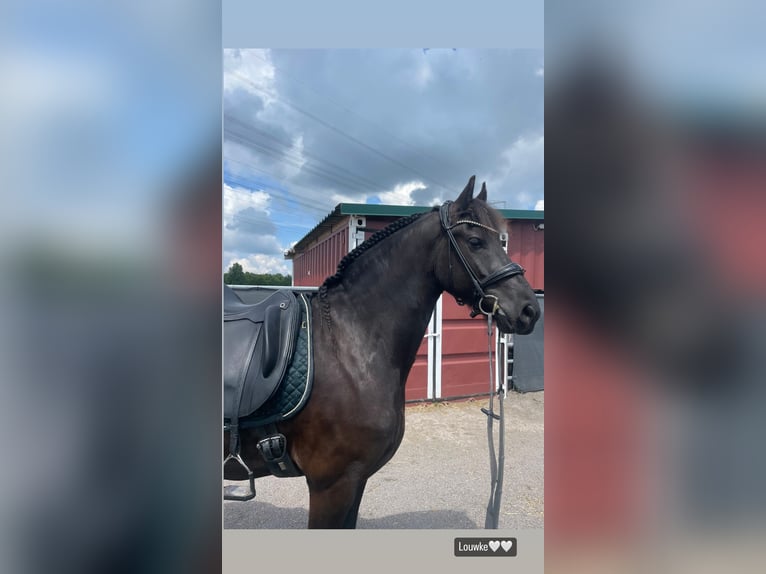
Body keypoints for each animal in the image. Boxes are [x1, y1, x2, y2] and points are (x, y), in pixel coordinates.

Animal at [224, 176, 541, 528]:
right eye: (475, 241)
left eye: (501, 241)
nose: (529, 310)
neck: (348, 346)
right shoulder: (330, 485)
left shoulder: (355, 480)